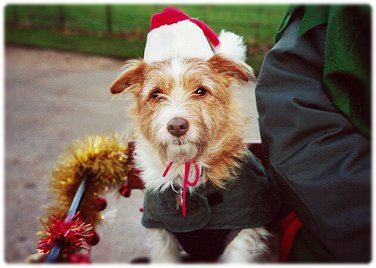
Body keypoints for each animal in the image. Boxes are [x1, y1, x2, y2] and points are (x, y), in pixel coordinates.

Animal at [108, 6, 274, 264]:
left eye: (201, 91)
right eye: (156, 94)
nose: (177, 126)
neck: (185, 169)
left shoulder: (242, 237)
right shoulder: (162, 237)